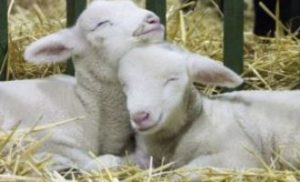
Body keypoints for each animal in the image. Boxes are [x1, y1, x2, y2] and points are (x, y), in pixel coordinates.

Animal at [116, 43, 300, 178]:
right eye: (125, 85)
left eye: (172, 79)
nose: (140, 116)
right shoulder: (144, 157)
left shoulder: (238, 154)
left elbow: (183, 173)